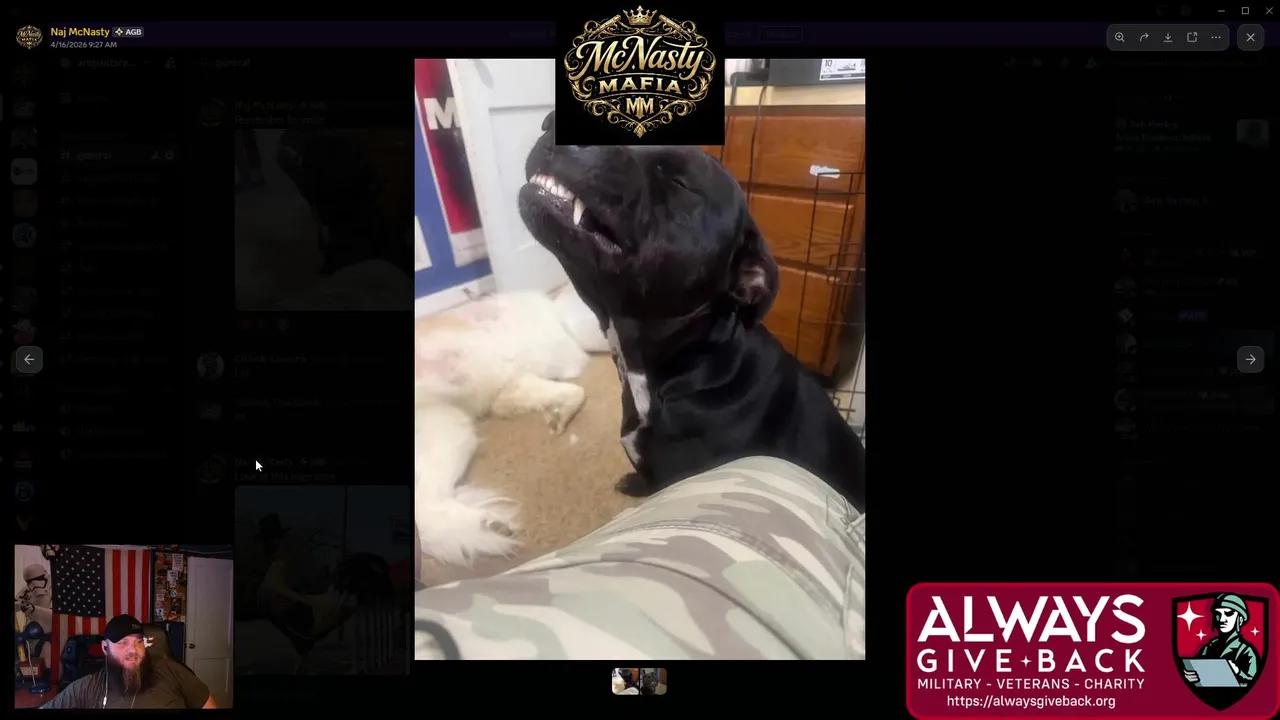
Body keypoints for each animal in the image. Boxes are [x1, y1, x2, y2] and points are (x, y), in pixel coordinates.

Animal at [415, 291, 590, 569]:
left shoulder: (515, 384)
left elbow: (573, 392)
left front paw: (557, 415)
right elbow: (577, 390)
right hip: (451, 429)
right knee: (424, 505)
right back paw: (483, 527)